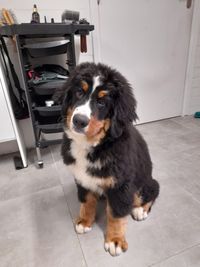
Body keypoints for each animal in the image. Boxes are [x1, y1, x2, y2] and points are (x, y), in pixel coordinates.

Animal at [59, 62, 159, 258]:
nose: (79, 120)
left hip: (143, 182)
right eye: (79, 92)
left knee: (152, 191)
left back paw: (140, 210)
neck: (92, 145)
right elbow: (86, 201)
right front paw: (85, 220)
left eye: (102, 102)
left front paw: (115, 240)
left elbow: (116, 215)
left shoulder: (121, 185)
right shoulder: (81, 178)